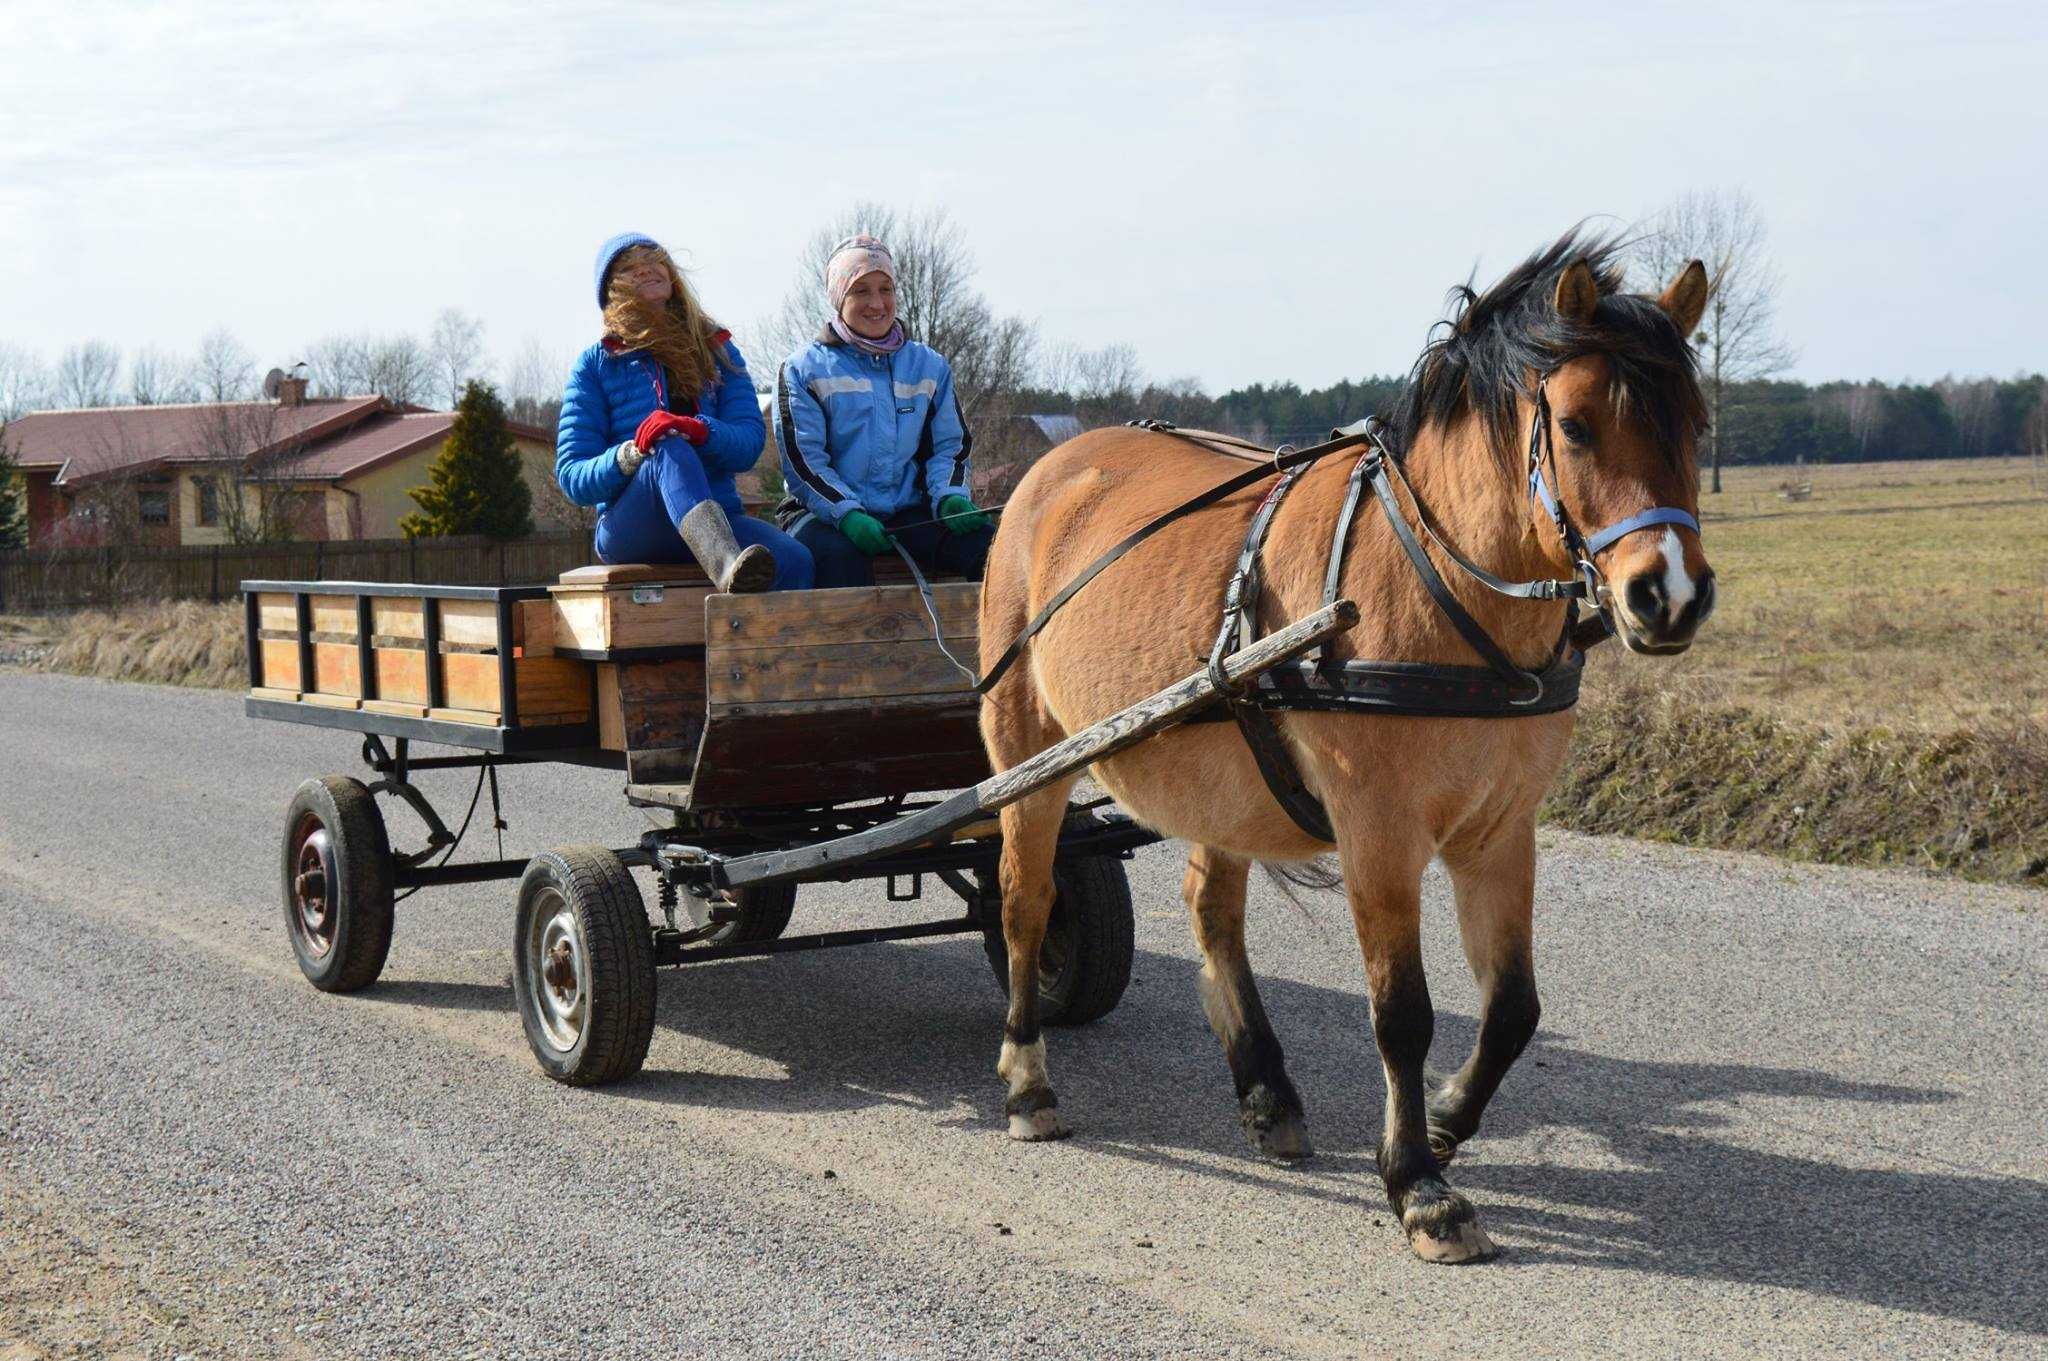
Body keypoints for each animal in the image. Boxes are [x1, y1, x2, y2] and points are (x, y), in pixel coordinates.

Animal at [974, 228, 1712, 1260]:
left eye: (1696, 423)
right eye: (1573, 427)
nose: (1669, 594)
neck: (1439, 581)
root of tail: (1051, 470)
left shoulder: (1500, 831)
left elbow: (1513, 1008)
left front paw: (1443, 1119)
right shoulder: (1380, 831)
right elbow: (1402, 1012)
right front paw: (1419, 1182)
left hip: (1224, 776)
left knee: (1210, 908)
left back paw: (1266, 1089)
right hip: (1026, 749)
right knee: (1024, 900)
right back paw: (1028, 1078)